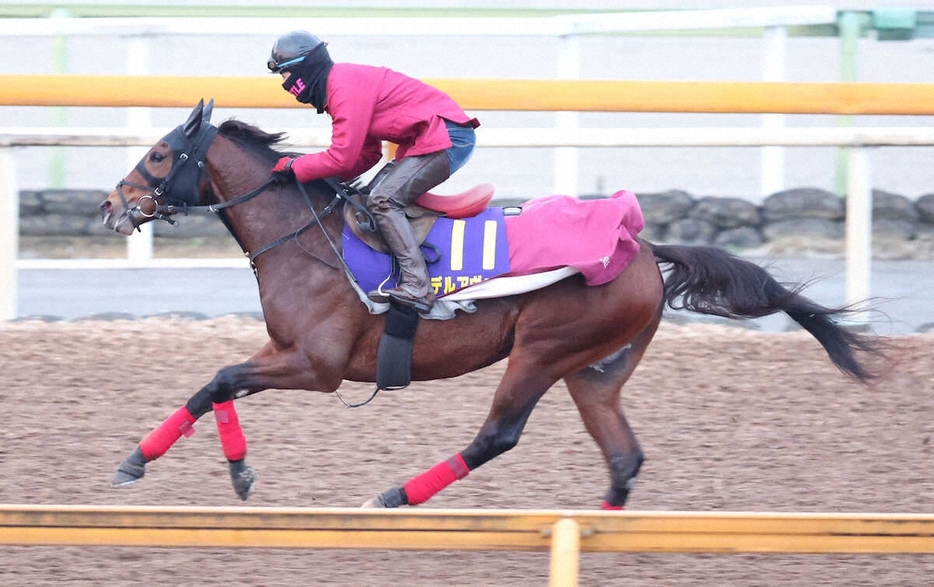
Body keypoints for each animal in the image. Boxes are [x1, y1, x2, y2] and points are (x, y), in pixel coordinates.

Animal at [98, 101, 888, 510]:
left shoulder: (315, 365)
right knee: (624, 458)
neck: (306, 235)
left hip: (542, 350)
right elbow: (212, 384)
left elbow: (221, 379)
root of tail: (639, 244)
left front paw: (197, 467)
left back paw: (394, 495)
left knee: (498, 435)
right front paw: (162, 463)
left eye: (161, 154)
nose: (110, 203)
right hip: (594, 369)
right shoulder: (284, 351)